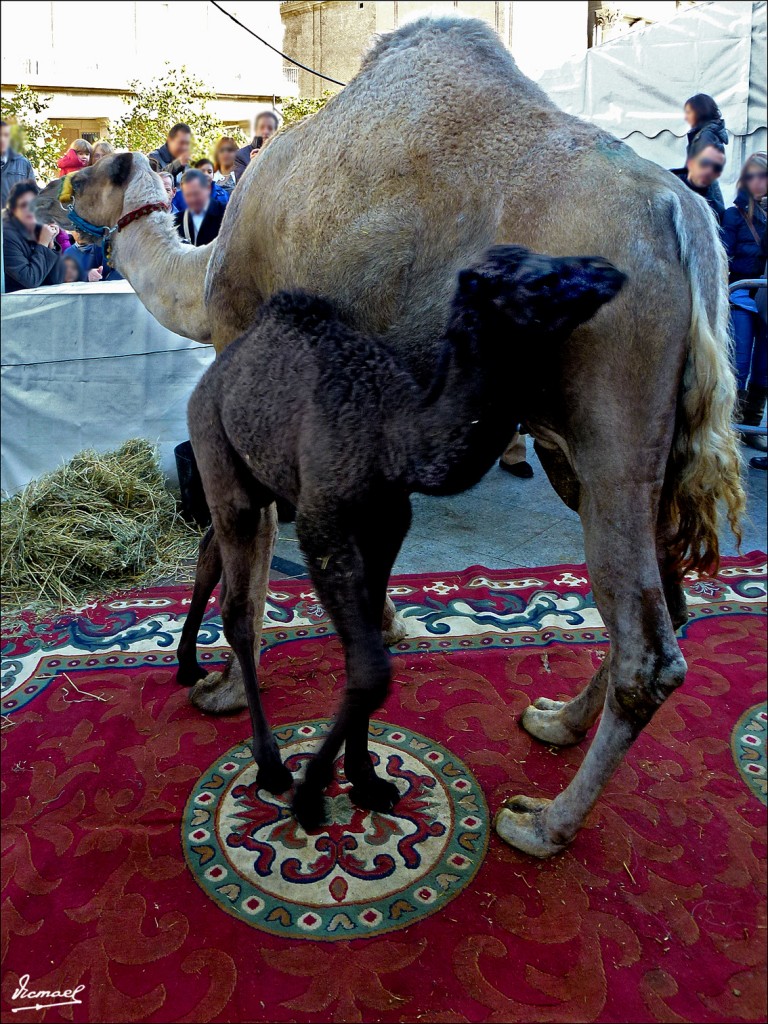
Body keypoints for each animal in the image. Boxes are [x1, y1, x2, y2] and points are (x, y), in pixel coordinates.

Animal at [182, 247, 626, 831]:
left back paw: (189, 667)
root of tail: (215, 370)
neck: (395, 438)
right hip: (221, 459)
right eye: (538, 281)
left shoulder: (387, 527)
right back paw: (270, 763)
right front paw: (313, 792)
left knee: (211, 557)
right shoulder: (324, 528)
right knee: (236, 607)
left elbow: (366, 648)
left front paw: (366, 779)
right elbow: (371, 669)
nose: (607, 271)